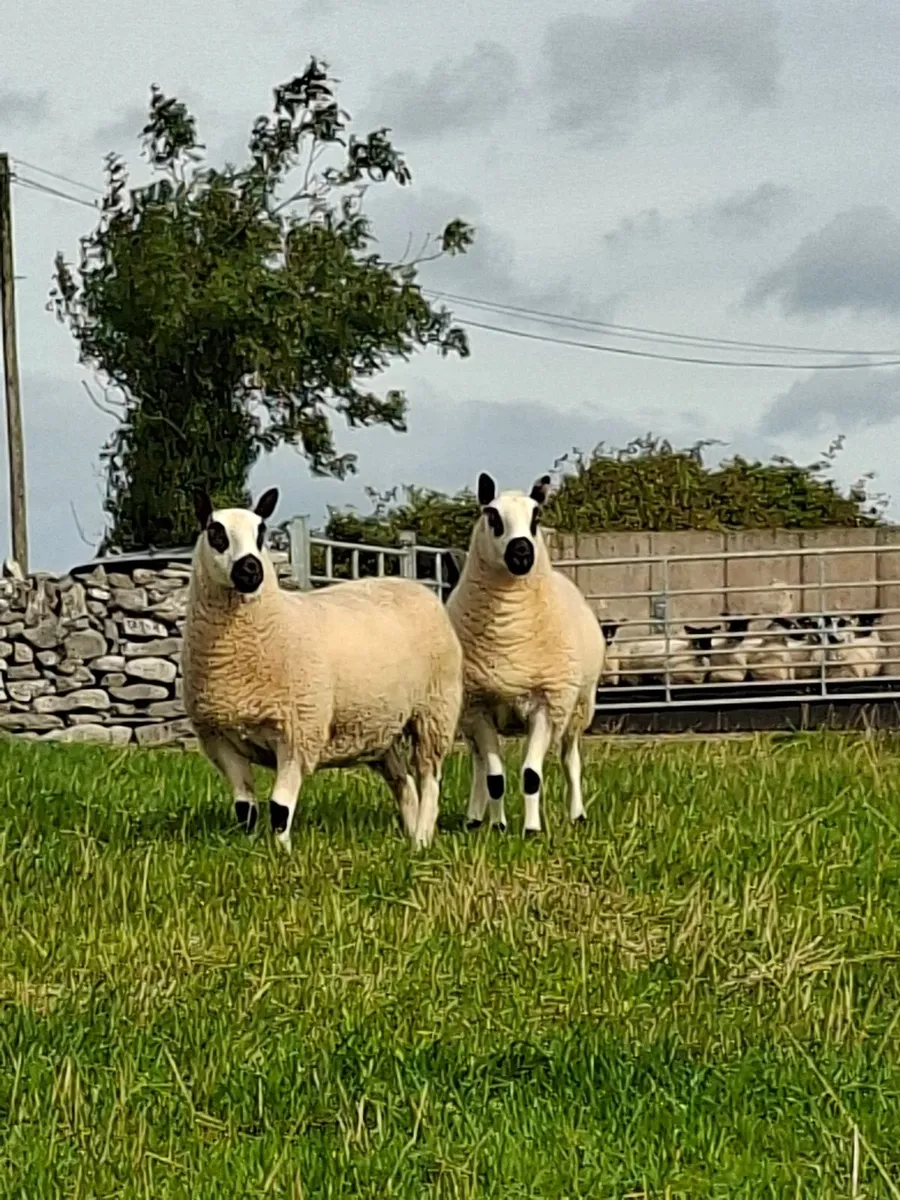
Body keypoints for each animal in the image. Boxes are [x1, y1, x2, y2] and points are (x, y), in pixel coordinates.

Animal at [182, 488, 464, 851]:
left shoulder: (298, 732)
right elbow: (245, 809)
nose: (251, 569)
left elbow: (279, 807)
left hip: (435, 708)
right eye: (215, 533)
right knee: (403, 781)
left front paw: (282, 853)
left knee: (429, 777)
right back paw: (410, 831)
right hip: (380, 726)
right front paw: (248, 849)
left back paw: (421, 840)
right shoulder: (220, 738)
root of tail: (417, 586)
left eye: (261, 533)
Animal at [445, 472, 605, 836]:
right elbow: (494, 777)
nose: (522, 552)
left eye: (537, 518)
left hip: (578, 707)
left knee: (571, 760)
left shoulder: (547, 704)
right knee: (478, 763)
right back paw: (475, 819)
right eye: (492, 516)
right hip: (464, 715)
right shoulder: (479, 707)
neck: (508, 635)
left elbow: (532, 775)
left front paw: (531, 830)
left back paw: (577, 815)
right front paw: (498, 826)